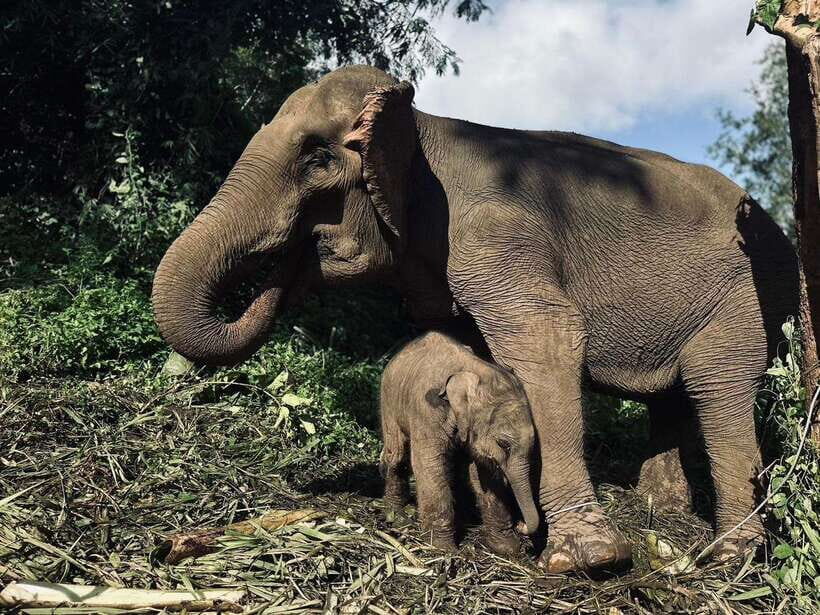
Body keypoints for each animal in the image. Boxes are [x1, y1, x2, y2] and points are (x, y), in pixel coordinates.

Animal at [379, 330, 540, 557]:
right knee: (397, 454)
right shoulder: (427, 410)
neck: (476, 369)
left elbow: (485, 473)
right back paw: (397, 517)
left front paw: (506, 548)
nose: (521, 525)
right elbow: (429, 465)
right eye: (503, 444)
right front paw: (442, 548)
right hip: (389, 403)